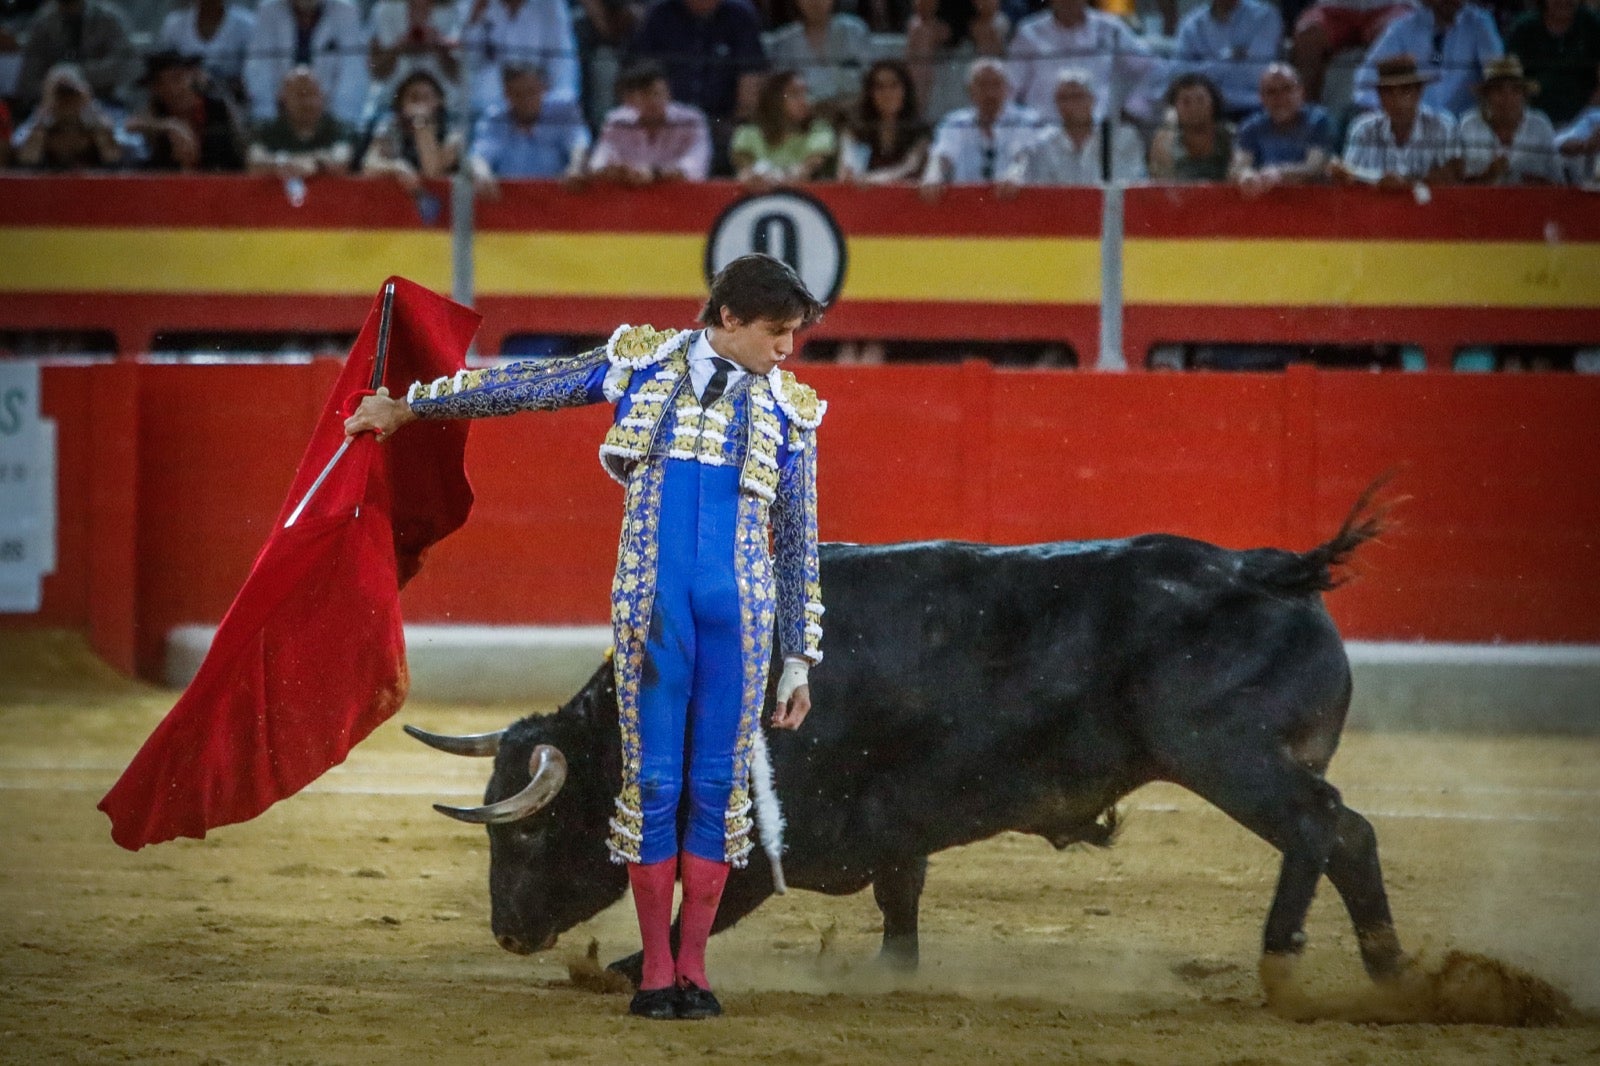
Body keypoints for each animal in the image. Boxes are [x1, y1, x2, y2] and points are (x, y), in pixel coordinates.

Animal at [409, 496, 1401, 985]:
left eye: (531, 830)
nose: (508, 933)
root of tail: (1267, 571)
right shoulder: (895, 828)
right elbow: (900, 899)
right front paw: (895, 971)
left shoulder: (777, 836)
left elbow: (712, 906)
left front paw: (621, 967)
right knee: (1348, 836)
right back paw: (1387, 970)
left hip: (1228, 756)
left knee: (1322, 829)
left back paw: (1282, 953)